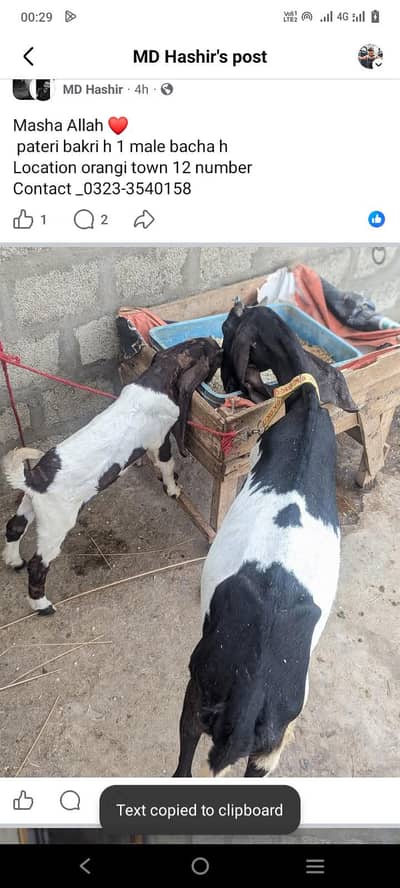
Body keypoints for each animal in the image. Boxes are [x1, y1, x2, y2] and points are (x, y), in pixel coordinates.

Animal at [2, 338, 221, 616]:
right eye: (210, 351)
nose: (216, 342)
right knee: (38, 565)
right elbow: (166, 465)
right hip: (56, 524)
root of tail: (34, 481)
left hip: (30, 504)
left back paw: (13, 561)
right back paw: (43, 606)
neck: (157, 378)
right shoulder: (160, 440)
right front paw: (173, 490)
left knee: (14, 527)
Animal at [174, 305, 358, 778]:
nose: (222, 369)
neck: (306, 406)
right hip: (270, 747)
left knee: (182, 766)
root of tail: (252, 695)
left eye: (228, 328)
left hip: (197, 692)